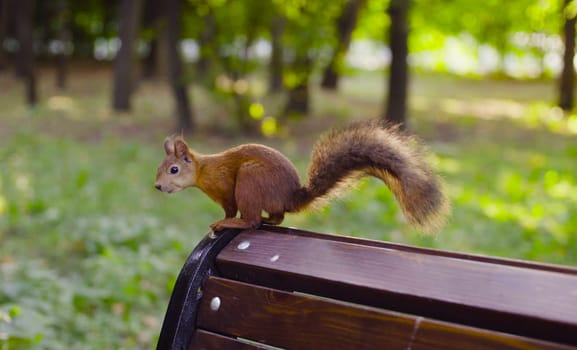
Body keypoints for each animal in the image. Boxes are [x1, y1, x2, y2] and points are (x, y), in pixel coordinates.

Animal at [154, 119, 450, 232]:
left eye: (174, 169)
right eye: (160, 168)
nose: (157, 186)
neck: (204, 170)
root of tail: (291, 196)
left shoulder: (227, 188)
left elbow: (230, 208)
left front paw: (223, 221)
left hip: (250, 181)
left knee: (252, 221)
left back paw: (240, 223)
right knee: (277, 217)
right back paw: (268, 220)